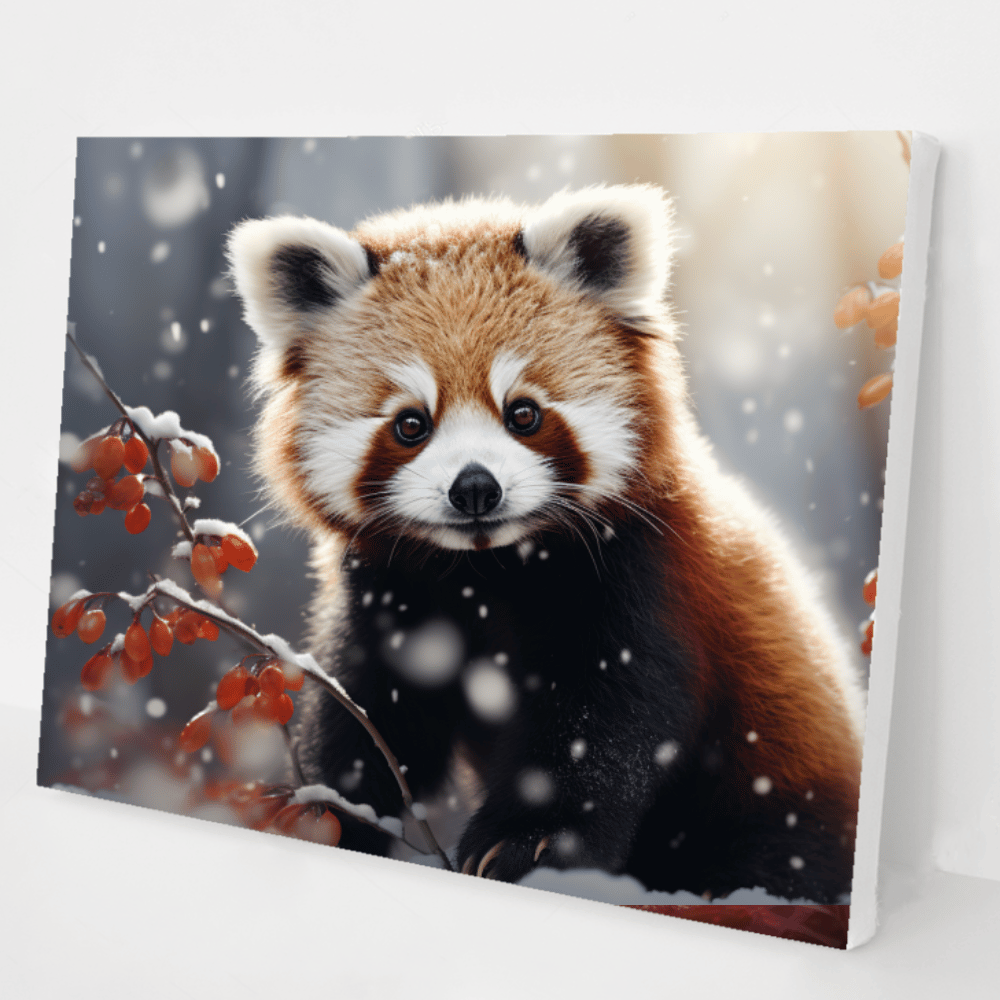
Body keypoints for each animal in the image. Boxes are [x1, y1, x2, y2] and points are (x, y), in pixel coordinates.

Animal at [227, 184, 864, 902]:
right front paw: (330, 813)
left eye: (523, 413)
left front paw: (524, 844)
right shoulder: (390, 595)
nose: (475, 488)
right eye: (411, 424)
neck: (489, 572)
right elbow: (369, 717)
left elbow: (603, 729)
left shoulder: (643, 578)